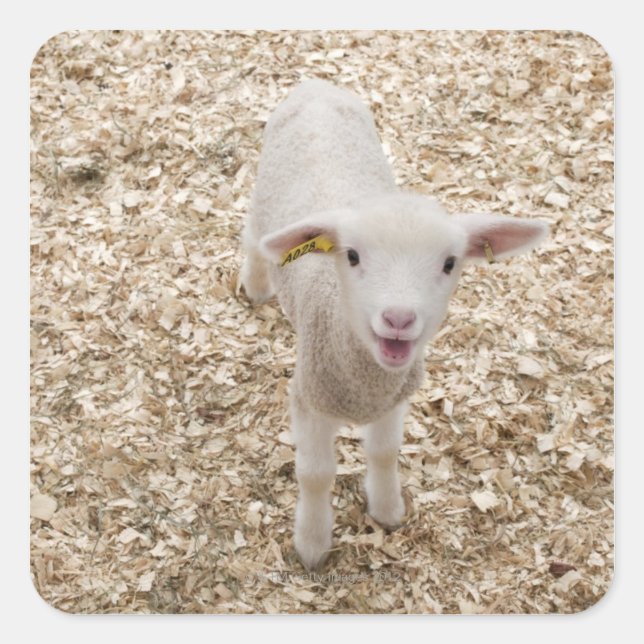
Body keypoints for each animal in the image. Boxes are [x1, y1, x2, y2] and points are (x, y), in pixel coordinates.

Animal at [240, 79, 548, 570]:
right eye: (351, 255)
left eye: (449, 263)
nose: (398, 318)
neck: (364, 380)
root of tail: (315, 85)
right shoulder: (308, 398)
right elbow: (315, 475)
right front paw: (312, 545)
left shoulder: (393, 400)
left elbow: (384, 452)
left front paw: (387, 511)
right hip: (264, 197)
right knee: (253, 237)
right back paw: (255, 284)